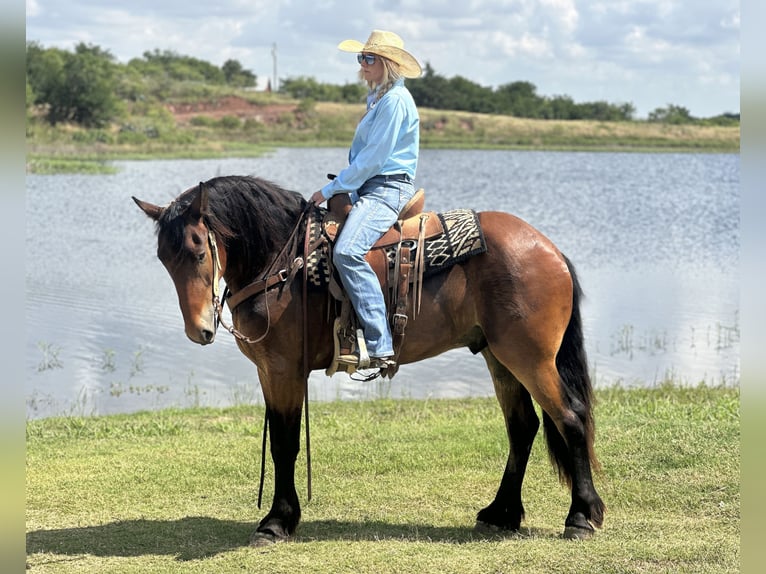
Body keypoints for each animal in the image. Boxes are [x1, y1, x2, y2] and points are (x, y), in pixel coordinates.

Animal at [135, 176, 608, 548]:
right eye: (164, 258)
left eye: (199, 251)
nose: (199, 330)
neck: (284, 263)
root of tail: (550, 249)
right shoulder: (269, 372)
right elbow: (280, 441)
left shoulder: (285, 371)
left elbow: (286, 444)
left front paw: (276, 521)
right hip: (500, 357)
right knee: (523, 427)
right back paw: (501, 513)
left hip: (529, 358)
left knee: (570, 418)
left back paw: (581, 516)